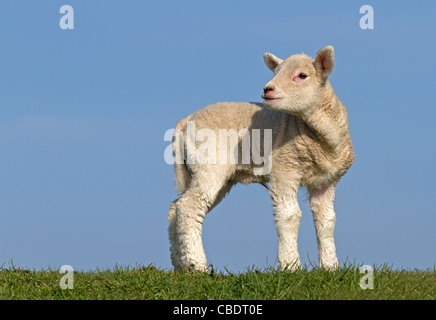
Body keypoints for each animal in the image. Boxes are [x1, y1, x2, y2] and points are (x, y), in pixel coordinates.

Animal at [167, 44, 354, 270]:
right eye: (276, 72)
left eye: (302, 75)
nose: (267, 89)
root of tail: (185, 121)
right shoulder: (284, 169)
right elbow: (290, 216)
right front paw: (290, 266)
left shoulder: (327, 181)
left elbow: (327, 221)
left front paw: (330, 267)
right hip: (209, 163)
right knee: (189, 207)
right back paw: (197, 265)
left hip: (211, 173)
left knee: (176, 208)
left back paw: (180, 265)